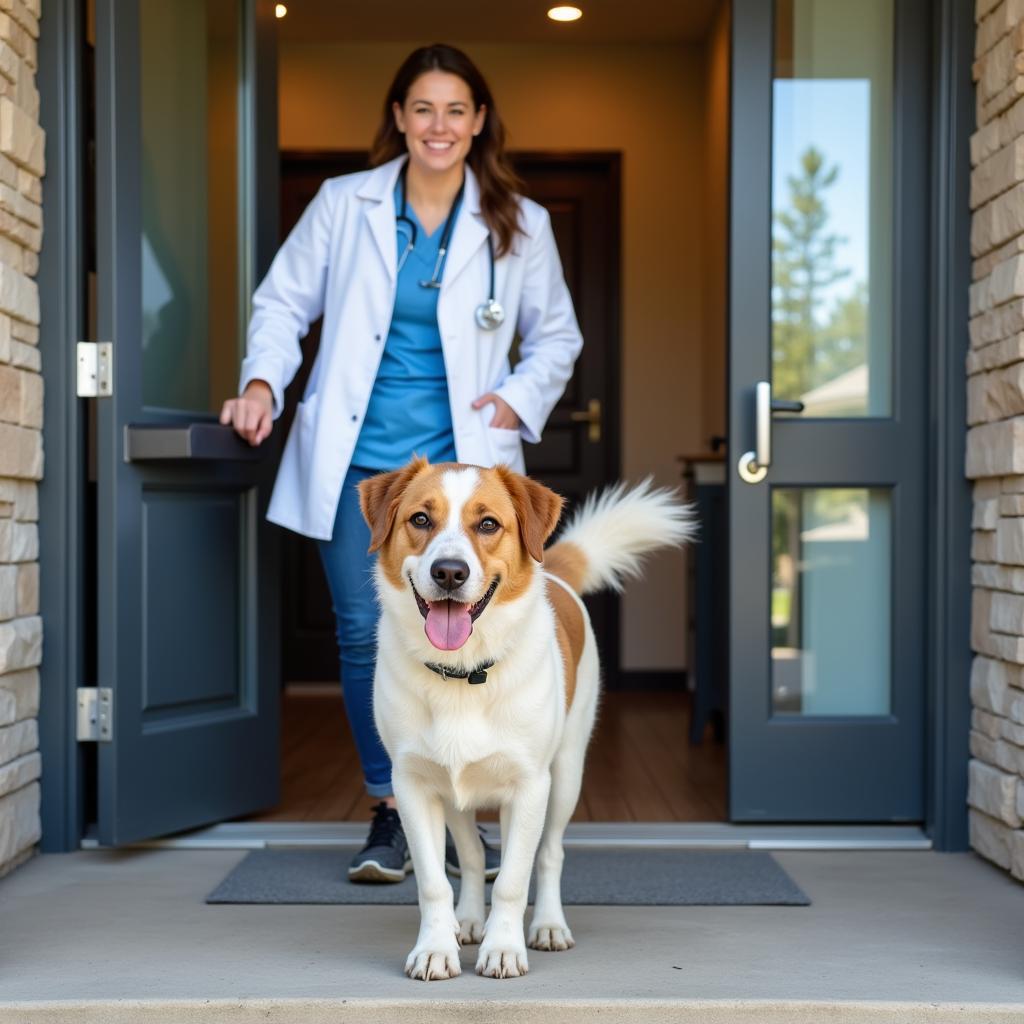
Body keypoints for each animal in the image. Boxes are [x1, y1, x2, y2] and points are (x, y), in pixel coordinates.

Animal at [358, 460, 696, 978]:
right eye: (420, 519)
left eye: (488, 524)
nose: (449, 572)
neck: (464, 672)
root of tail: (552, 572)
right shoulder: (414, 785)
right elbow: (435, 882)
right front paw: (436, 947)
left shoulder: (530, 785)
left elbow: (513, 881)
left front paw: (503, 948)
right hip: (455, 797)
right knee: (472, 856)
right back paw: (467, 920)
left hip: (567, 774)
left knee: (551, 853)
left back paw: (548, 926)